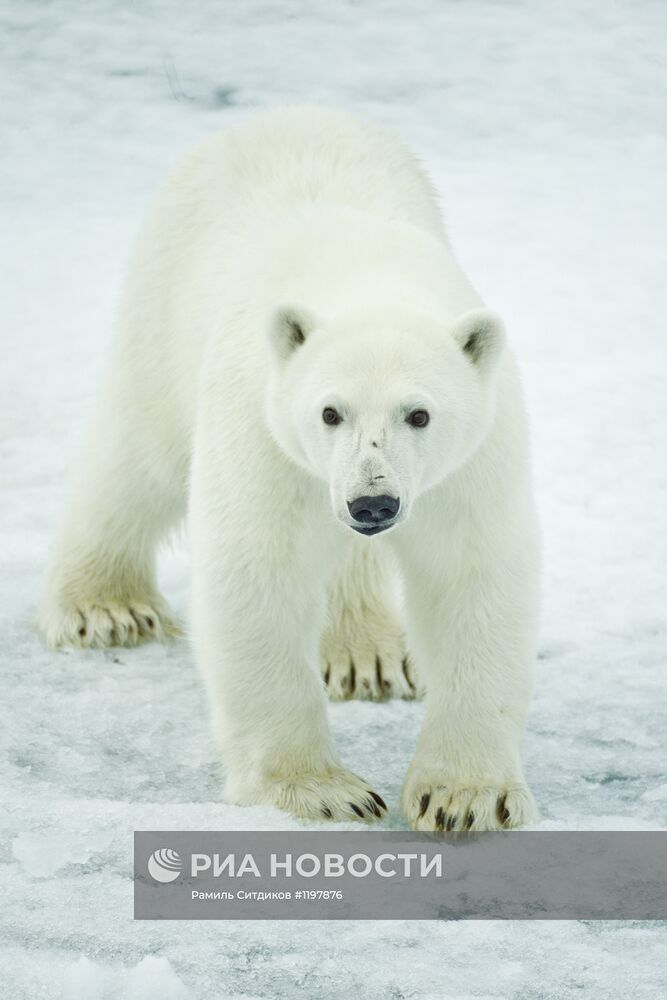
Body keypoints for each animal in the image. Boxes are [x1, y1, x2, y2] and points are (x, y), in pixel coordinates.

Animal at [39, 105, 544, 832]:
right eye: (329, 411)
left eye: (419, 414)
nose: (372, 504)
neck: (367, 278)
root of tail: (284, 111)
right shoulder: (264, 428)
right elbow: (257, 572)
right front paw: (321, 791)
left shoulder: (469, 463)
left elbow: (473, 576)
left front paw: (465, 796)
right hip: (162, 308)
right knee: (135, 458)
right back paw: (104, 608)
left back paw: (367, 654)